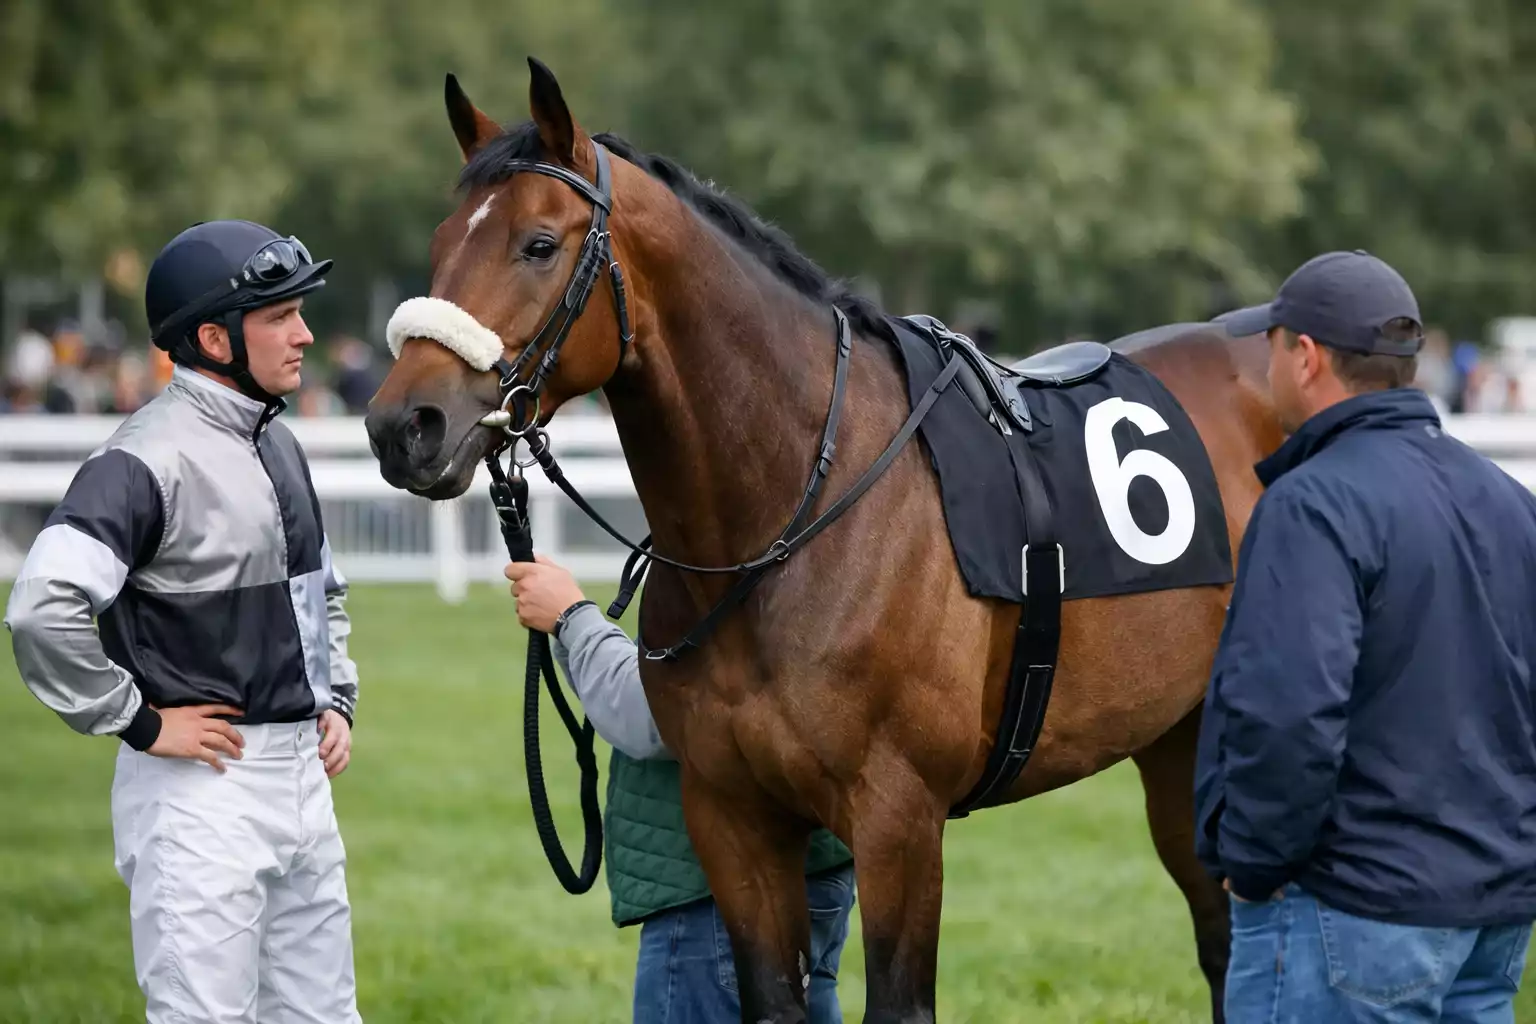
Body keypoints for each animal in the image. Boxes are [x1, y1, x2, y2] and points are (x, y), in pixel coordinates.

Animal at [364, 58, 1284, 1024]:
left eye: (539, 244)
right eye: (440, 242)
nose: (403, 425)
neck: (787, 521)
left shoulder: (898, 821)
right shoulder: (732, 817)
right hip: (1180, 745)